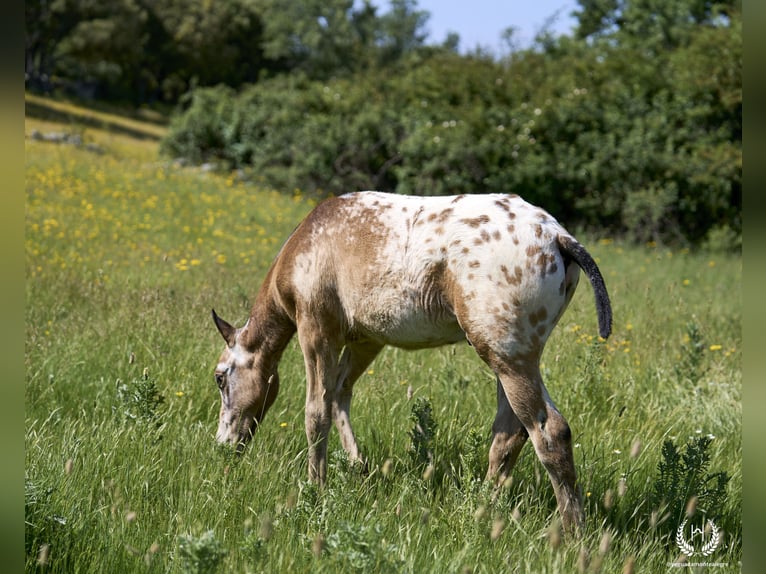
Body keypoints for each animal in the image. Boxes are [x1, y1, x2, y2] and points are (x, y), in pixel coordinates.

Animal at [212, 191, 612, 536]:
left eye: (220, 378)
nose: (223, 446)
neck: (304, 245)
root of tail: (559, 237)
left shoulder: (317, 329)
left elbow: (316, 411)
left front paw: (316, 488)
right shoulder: (366, 339)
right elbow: (339, 395)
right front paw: (358, 467)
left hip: (508, 358)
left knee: (549, 432)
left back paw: (573, 534)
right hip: (516, 358)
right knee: (509, 432)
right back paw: (483, 507)